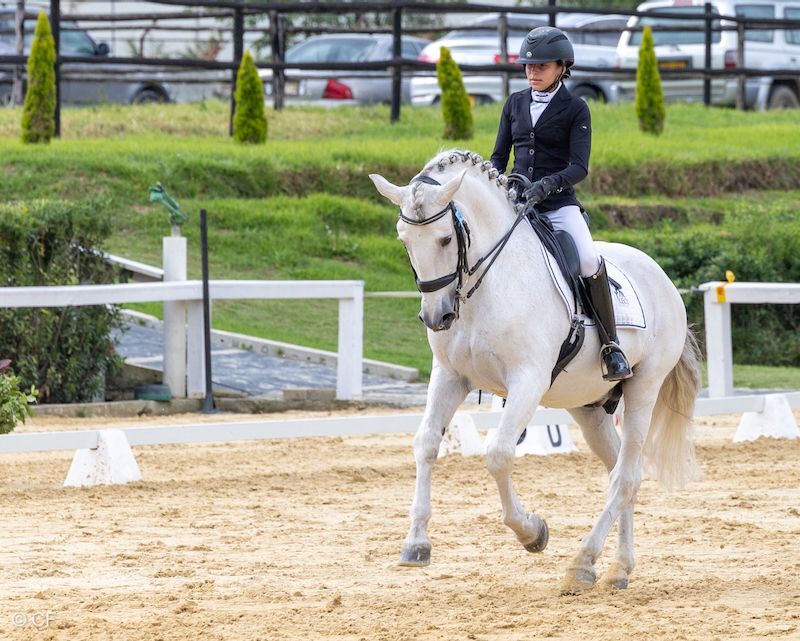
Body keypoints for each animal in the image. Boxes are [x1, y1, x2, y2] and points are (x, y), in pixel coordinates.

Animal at [369, 150, 701, 594]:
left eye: (444, 239)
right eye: (404, 241)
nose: (436, 317)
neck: (485, 285)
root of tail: (661, 276)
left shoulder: (528, 380)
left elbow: (498, 454)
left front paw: (532, 532)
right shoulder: (450, 376)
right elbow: (425, 444)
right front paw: (416, 543)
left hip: (643, 388)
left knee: (627, 475)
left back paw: (583, 563)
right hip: (589, 406)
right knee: (619, 470)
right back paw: (617, 569)